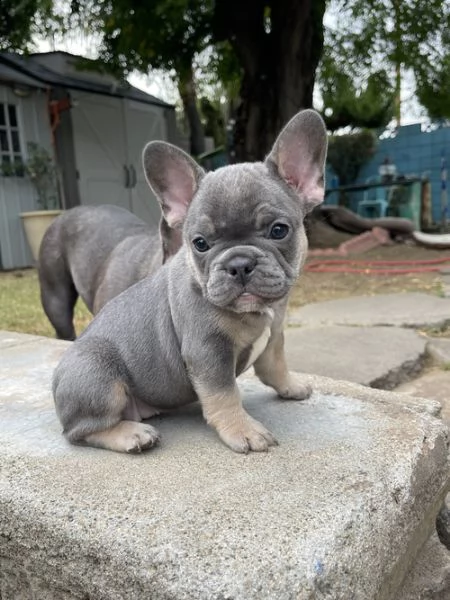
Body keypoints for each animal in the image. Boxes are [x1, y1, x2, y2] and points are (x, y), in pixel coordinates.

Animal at [52, 108, 328, 454]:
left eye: (279, 230)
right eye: (200, 243)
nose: (238, 264)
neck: (256, 312)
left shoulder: (274, 336)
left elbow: (275, 366)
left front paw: (291, 387)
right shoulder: (207, 350)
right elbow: (225, 394)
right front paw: (243, 430)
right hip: (98, 376)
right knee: (79, 431)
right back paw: (131, 434)